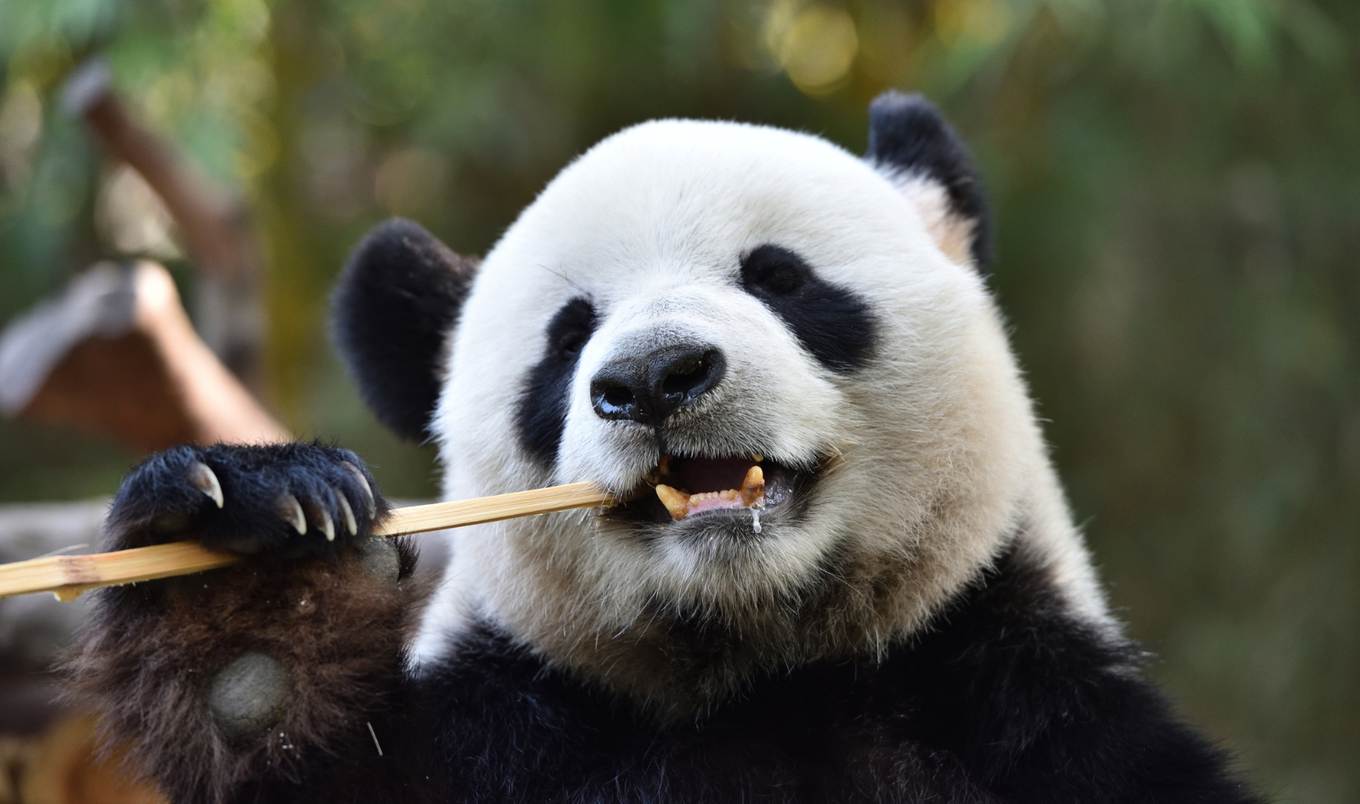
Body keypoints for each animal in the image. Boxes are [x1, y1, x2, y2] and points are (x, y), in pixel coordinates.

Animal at [69, 92, 1261, 803]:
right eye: (566, 340)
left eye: (780, 277)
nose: (652, 378)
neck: (766, 663)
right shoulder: (521, 737)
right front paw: (252, 593)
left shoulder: (1018, 706)